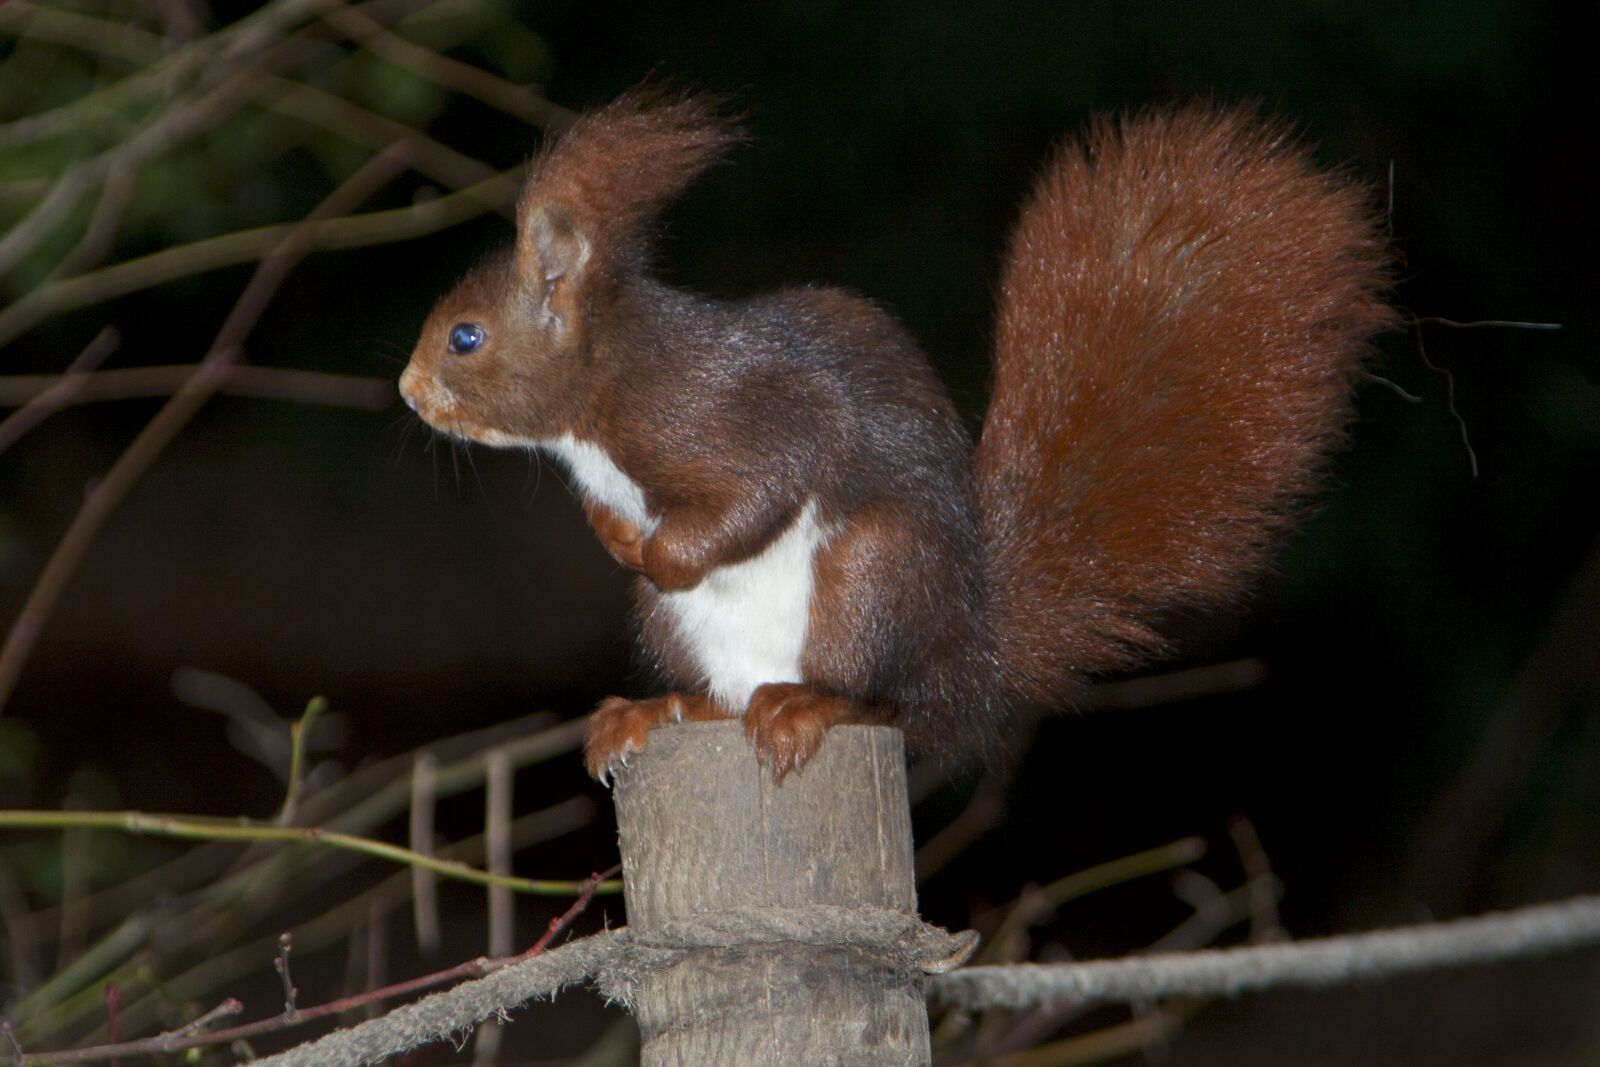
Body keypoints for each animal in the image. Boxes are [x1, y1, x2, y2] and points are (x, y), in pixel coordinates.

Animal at [399, 89, 1392, 783]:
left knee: (886, 707)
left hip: (872, 572)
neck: (598, 414)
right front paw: (617, 538)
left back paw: (807, 706)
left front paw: (664, 548)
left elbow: (757, 490)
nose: (408, 391)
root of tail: (974, 666)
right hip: (679, 627)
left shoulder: (729, 413)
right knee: (724, 697)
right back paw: (655, 712)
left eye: (465, 337)